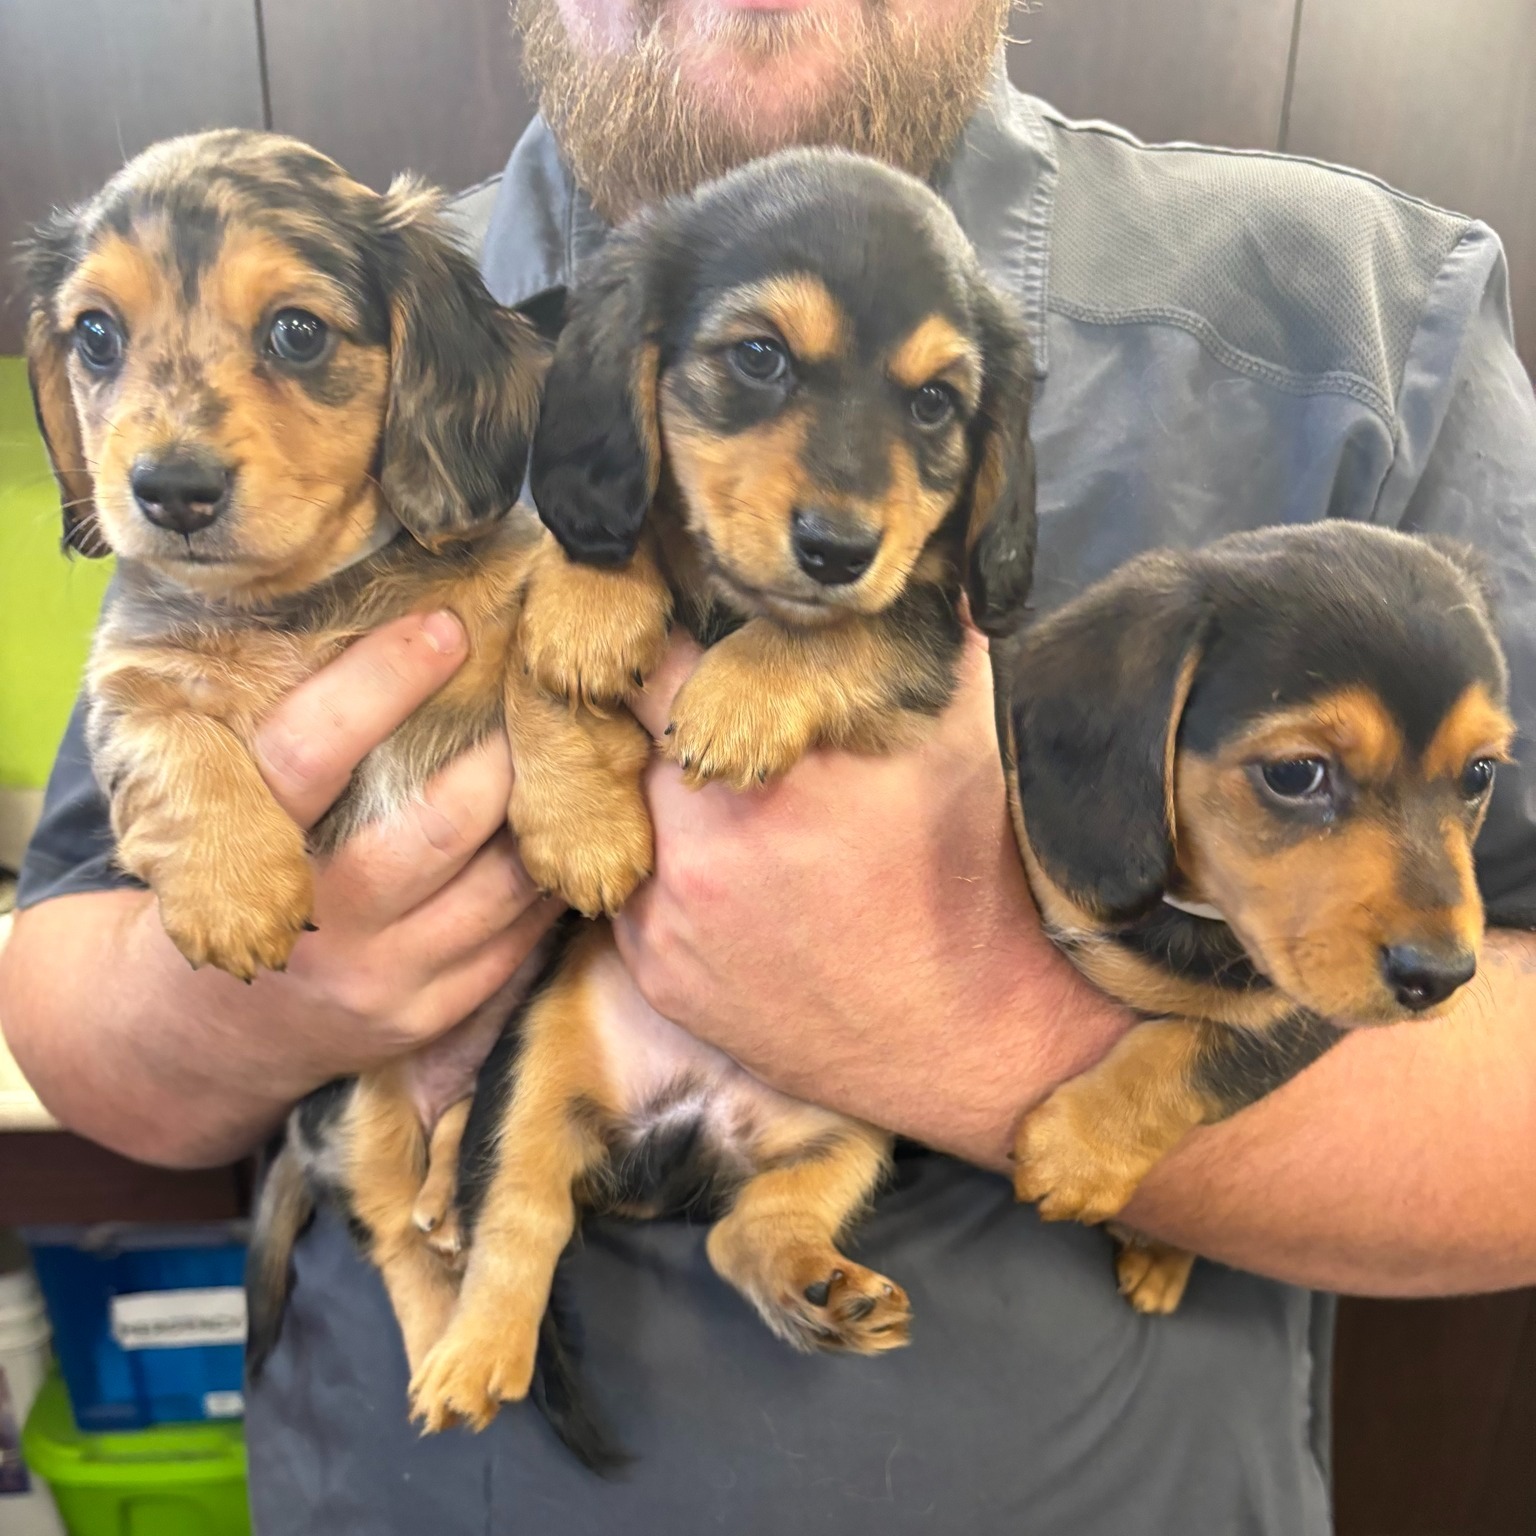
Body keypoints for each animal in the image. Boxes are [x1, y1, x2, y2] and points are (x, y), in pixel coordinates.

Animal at [22, 132, 654, 1376]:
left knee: (454, 1171)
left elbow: (537, 669)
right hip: (358, 1109)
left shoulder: (504, 594)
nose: (168, 491)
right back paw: (441, 1356)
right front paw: (233, 886)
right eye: (96, 335)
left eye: (298, 332)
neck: (300, 603)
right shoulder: (127, 681)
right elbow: (169, 737)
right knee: (397, 1246)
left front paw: (582, 824)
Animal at [402, 152, 1038, 1437]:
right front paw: (590, 638)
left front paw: (743, 696)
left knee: (747, 1231)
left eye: (936, 406)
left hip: (851, 1127)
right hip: (539, 1070)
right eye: (759, 357)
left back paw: (819, 1291)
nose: (838, 545)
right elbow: (553, 624)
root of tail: (688, 1126)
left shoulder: (920, 630)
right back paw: (471, 1350)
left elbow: (849, 631)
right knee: (522, 1221)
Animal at [995, 522, 1511, 1314]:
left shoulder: (1303, 1016)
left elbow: (1204, 1050)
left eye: (1479, 774)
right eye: (1295, 774)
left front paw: (1081, 1149)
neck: (1201, 921)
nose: (1442, 977)